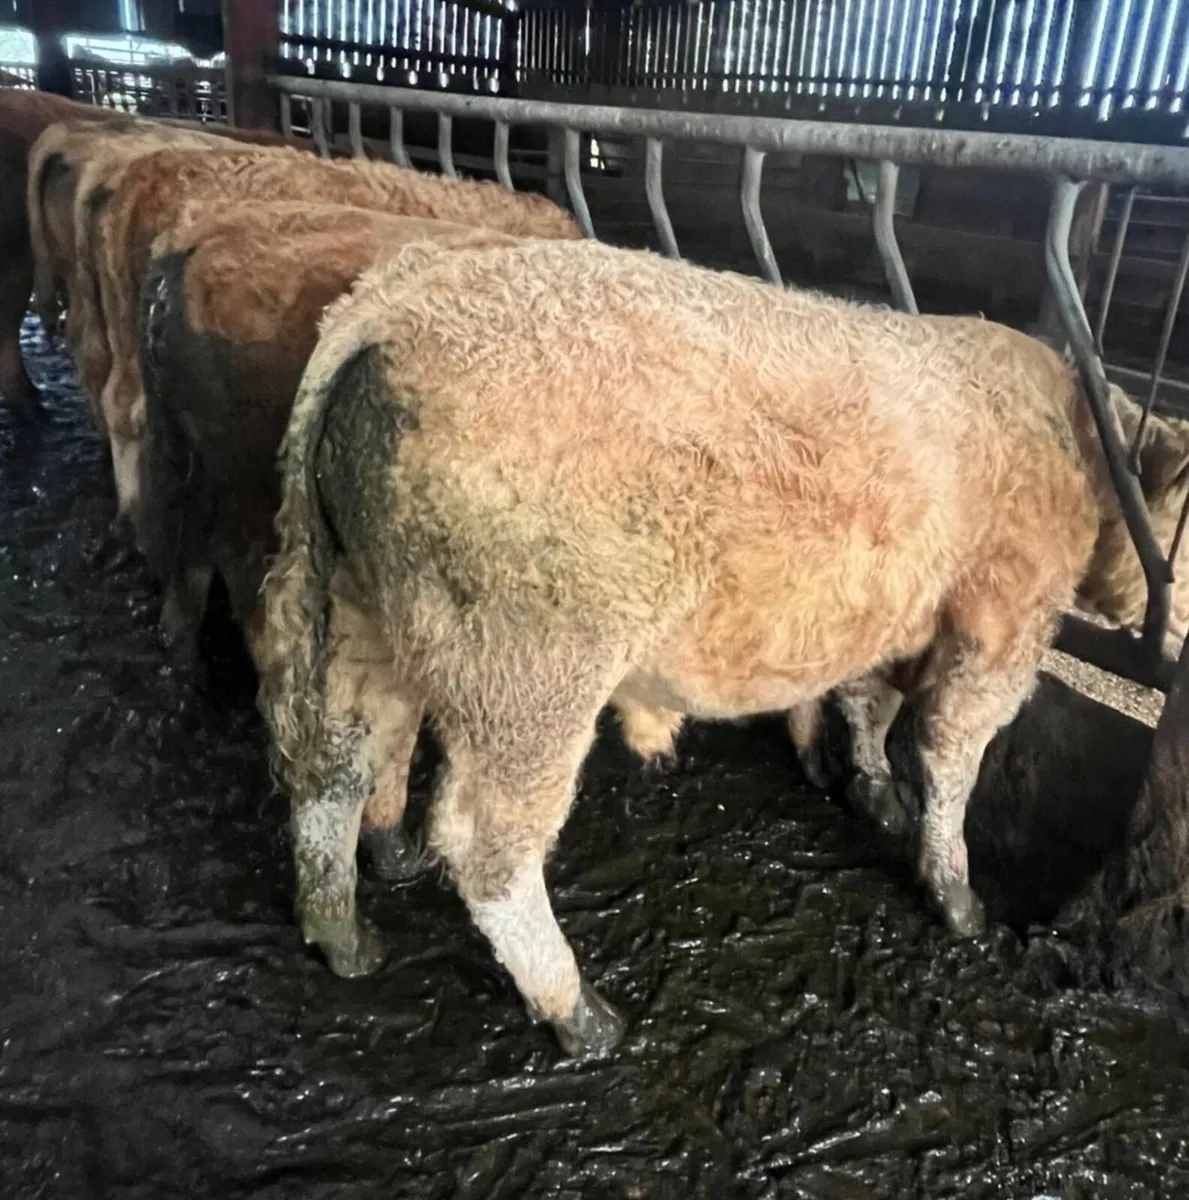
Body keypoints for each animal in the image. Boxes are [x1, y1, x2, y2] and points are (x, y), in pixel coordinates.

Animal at [255, 238, 1189, 1057]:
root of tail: (392, 307)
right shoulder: (1004, 613)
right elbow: (950, 751)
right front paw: (956, 898)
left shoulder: (896, 606)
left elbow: (867, 701)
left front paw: (866, 789)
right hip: (533, 667)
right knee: (486, 842)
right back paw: (583, 1016)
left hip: (358, 605)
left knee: (336, 762)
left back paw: (351, 925)